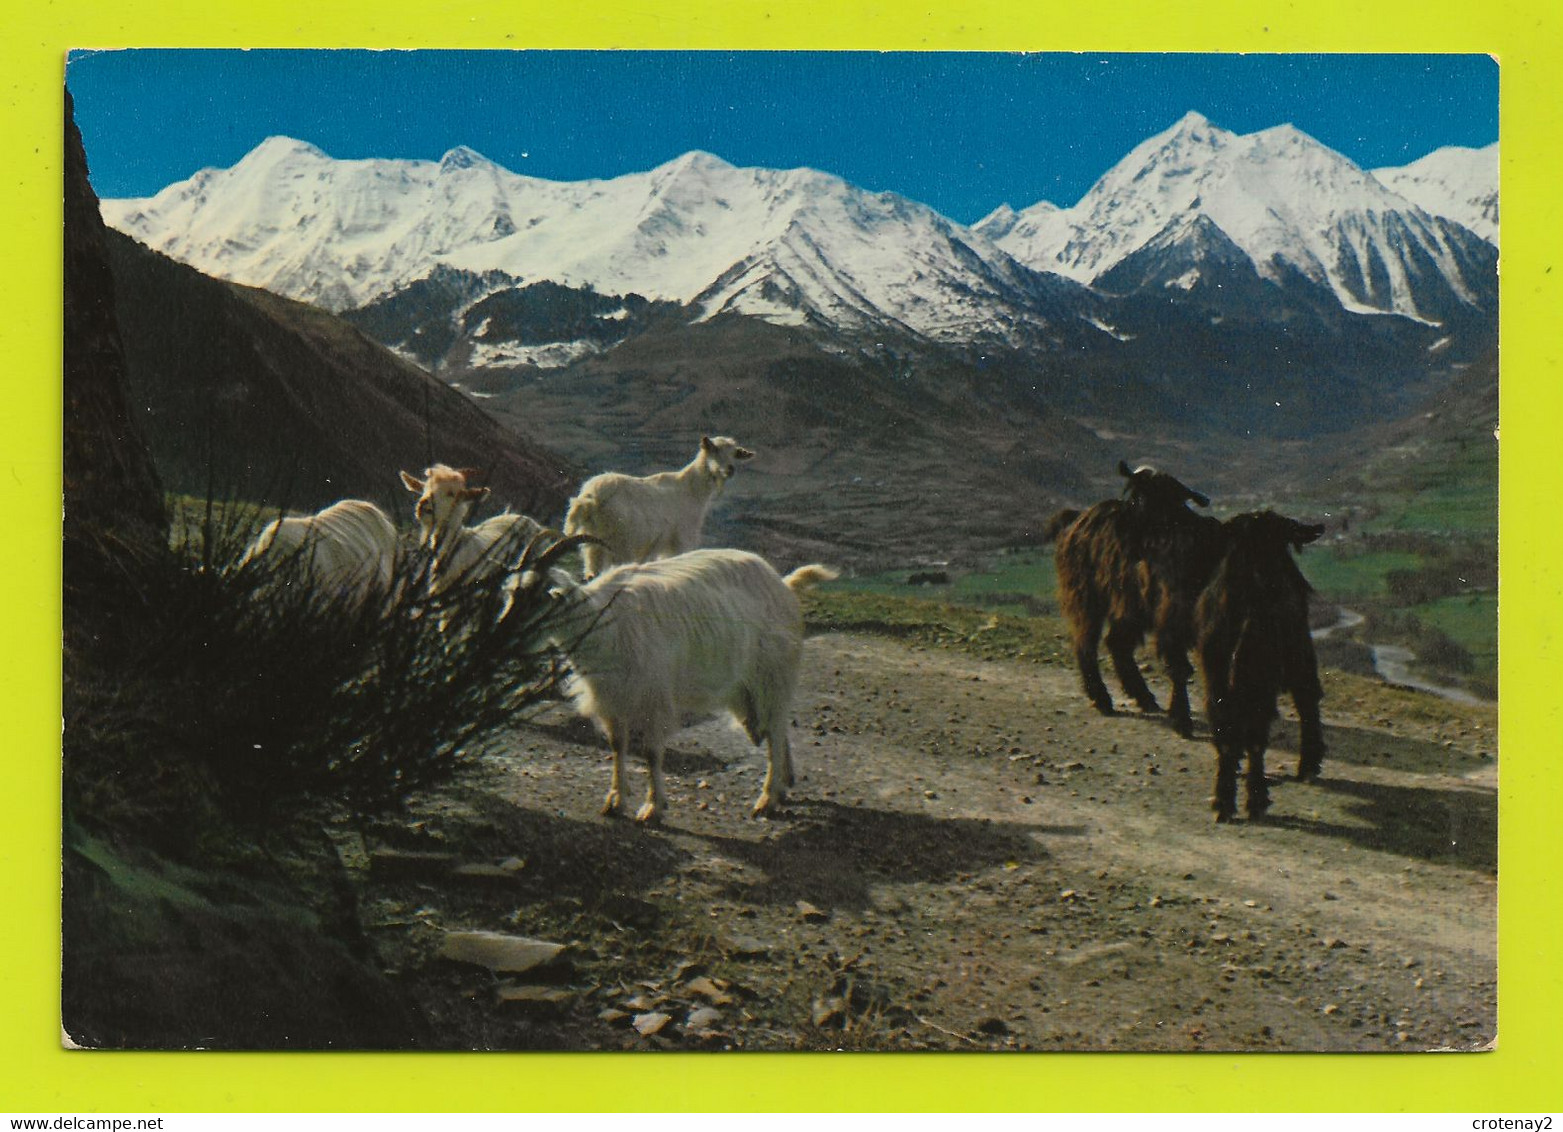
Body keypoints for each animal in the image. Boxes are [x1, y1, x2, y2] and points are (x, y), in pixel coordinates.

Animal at [525, 547, 837, 825]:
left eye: (541, 596)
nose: (515, 633)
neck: (600, 621)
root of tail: (783, 584)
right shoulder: (613, 698)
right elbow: (617, 745)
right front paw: (615, 800)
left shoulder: (653, 698)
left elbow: (651, 752)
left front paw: (653, 807)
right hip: (754, 690)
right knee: (778, 729)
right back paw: (784, 785)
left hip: (772, 678)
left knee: (774, 733)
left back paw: (767, 799)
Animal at [565, 434, 753, 575]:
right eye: (714, 450)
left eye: (735, 453)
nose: (730, 470)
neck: (691, 489)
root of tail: (591, 497)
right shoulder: (681, 540)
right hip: (620, 544)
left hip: (592, 545)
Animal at [1044, 462, 1225, 737]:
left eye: (1140, 498)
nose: (1118, 530)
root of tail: (1075, 518)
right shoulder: (1171, 618)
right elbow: (1179, 668)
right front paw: (1181, 721)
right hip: (1085, 595)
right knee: (1085, 644)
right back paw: (1102, 699)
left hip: (1130, 606)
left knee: (1116, 643)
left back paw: (1143, 696)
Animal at [1194, 512, 1331, 825]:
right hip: (1274, 666)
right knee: (1270, 721)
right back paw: (1259, 795)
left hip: (1223, 675)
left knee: (1227, 726)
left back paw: (1226, 798)